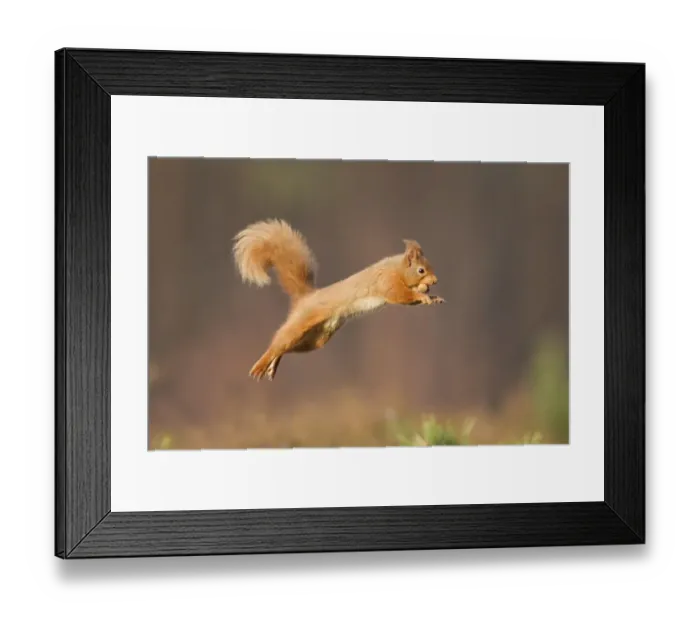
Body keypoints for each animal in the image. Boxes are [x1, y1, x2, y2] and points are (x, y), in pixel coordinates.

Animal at [232, 219, 444, 381]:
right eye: (421, 270)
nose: (435, 281)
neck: (397, 268)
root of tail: (306, 297)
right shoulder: (388, 282)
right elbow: (401, 296)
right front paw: (423, 295)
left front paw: (434, 297)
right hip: (301, 323)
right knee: (278, 343)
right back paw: (260, 365)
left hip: (316, 339)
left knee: (286, 349)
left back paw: (272, 366)